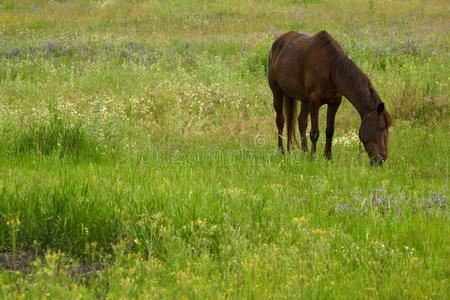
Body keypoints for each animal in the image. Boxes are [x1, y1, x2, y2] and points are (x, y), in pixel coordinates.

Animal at [268, 29, 392, 166]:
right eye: (380, 128)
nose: (381, 160)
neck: (331, 68)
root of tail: (277, 43)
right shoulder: (314, 101)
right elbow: (314, 132)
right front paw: (313, 157)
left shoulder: (334, 102)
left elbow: (329, 130)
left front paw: (328, 157)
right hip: (277, 92)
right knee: (281, 121)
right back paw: (282, 151)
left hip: (300, 98)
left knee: (300, 122)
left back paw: (301, 152)